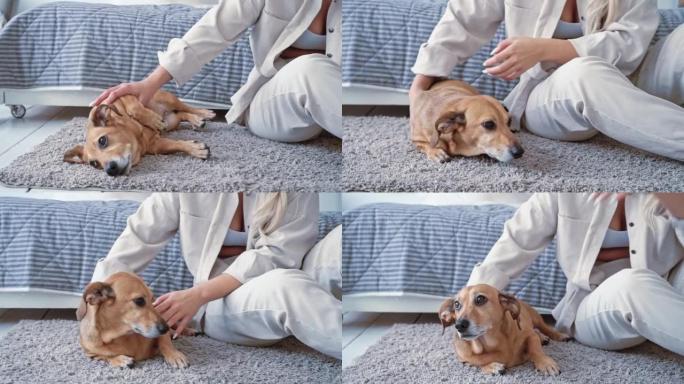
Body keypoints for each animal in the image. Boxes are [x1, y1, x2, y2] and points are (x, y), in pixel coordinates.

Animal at [64, 91, 215, 176]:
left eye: (102, 140)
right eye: (94, 164)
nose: (110, 171)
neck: (136, 134)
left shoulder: (125, 95)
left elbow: (135, 107)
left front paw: (153, 120)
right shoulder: (156, 145)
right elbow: (176, 145)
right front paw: (196, 149)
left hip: (169, 99)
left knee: (187, 107)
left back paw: (204, 113)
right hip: (172, 122)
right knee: (182, 114)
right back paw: (196, 120)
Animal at [440, 284, 568, 376]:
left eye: (480, 299)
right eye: (457, 304)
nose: (459, 325)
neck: (491, 344)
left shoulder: (528, 335)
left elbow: (536, 349)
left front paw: (545, 363)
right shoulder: (463, 359)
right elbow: (477, 363)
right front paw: (492, 367)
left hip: (536, 318)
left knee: (545, 328)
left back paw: (559, 335)